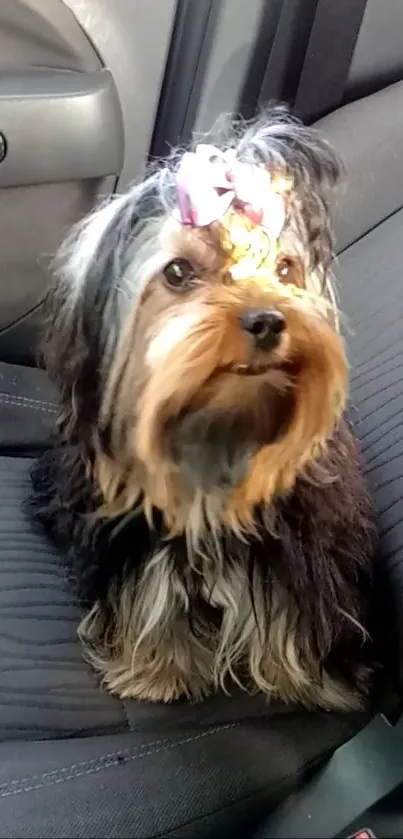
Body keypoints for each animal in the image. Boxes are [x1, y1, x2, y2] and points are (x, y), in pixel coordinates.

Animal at [30, 105, 378, 708]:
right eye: (177, 273)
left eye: (285, 270)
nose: (267, 320)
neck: (220, 436)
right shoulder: (138, 543)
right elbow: (152, 598)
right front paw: (158, 671)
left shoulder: (301, 543)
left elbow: (290, 605)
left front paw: (302, 680)